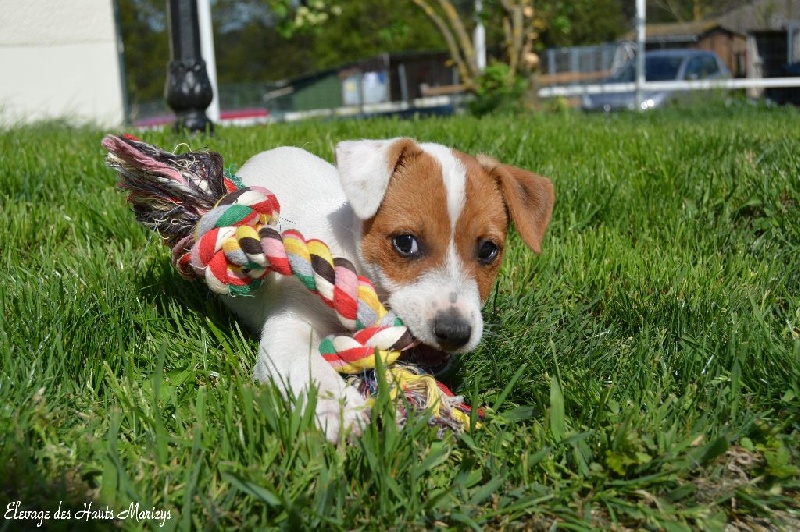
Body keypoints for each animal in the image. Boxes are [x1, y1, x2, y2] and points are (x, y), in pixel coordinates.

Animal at [222, 137, 552, 440]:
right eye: (405, 243)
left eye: (487, 250)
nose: (455, 332)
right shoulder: (289, 326)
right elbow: (304, 362)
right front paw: (335, 406)